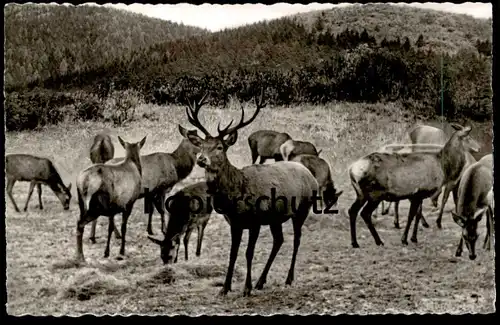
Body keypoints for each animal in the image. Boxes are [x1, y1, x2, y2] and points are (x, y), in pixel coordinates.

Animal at [150, 88, 320, 296]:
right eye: (201, 146)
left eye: (219, 147)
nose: (202, 159)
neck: (237, 193)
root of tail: (310, 175)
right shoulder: (234, 223)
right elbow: (233, 253)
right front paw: (225, 287)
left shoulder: (255, 221)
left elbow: (248, 253)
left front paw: (246, 288)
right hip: (275, 218)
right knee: (278, 240)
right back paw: (261, 281)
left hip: (302, 209)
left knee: (296, 240)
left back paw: (288, 279)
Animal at [348, 123, 480, 247]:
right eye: (468, 137)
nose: (479, 147)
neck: (443, 167)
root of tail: (352, 169)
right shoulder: (418, 193)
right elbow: (411, 216)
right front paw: (404, 239)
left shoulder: (419, 194)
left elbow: (417, 215)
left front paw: (414, 238)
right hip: (375, 193)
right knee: (365, 213)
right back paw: (378, 241)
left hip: (361, 194)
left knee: (352, 210)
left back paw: (355, 242)